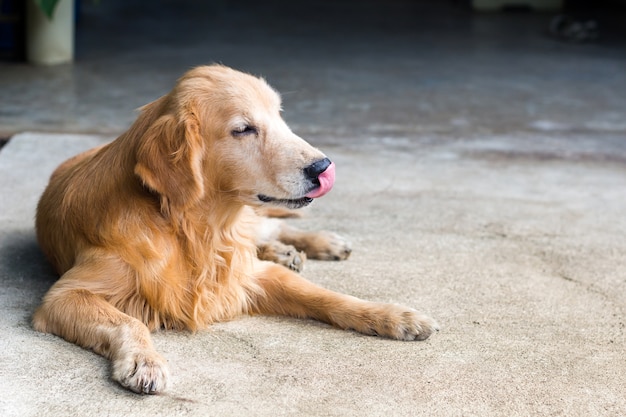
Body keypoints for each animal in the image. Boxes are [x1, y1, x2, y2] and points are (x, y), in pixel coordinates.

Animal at [31, 63, 436, 392]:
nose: (323, 167)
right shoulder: (65, 295)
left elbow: (329, 297)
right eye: (243, 130)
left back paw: (318, 243)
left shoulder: (249, 273)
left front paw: (391, 315)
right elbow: (129, 322)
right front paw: (145, 361)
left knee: (268, 228)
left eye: (279, 116)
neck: (192, 228)